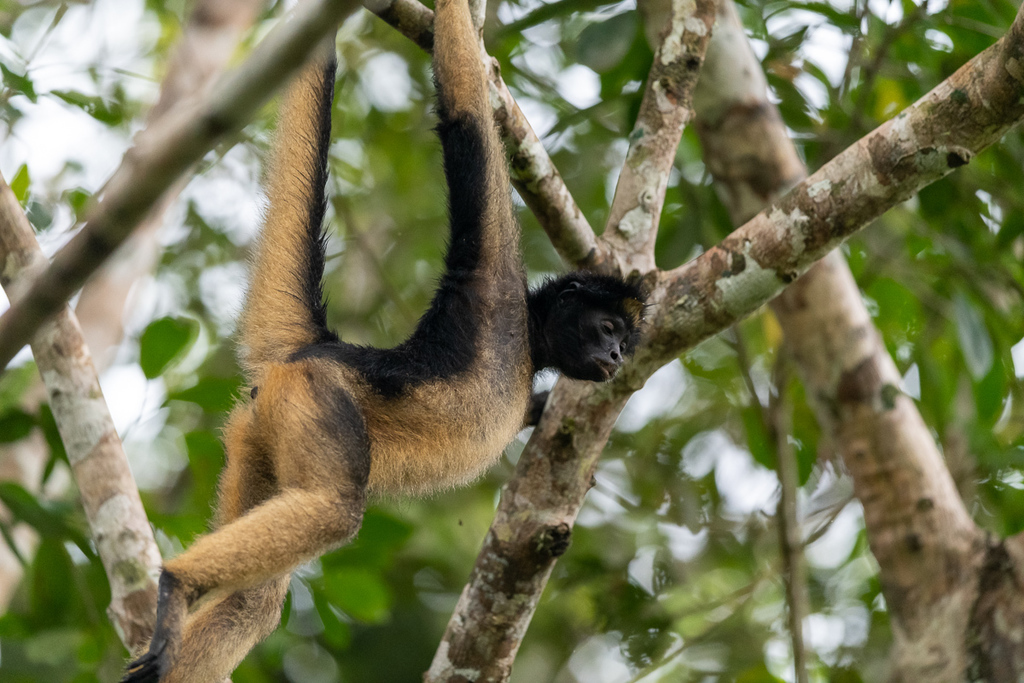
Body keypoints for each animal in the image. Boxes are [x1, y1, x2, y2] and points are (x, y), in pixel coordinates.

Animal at [123, 0, 643, 679]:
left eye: (624, 343)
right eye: (606, 329)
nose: (613, 356)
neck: (529, 345)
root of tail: (316, 349)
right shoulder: (493, 287)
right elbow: (466, 119)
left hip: (255, 428)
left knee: (255, 599)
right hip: (314, 396)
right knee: (335, 508)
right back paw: (178, 582)